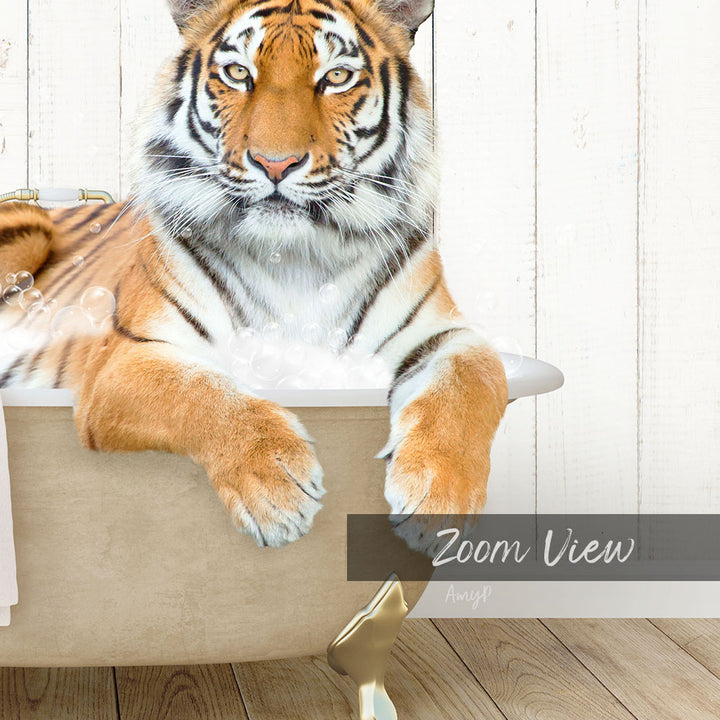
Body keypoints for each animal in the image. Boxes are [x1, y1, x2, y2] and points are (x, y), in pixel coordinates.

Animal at [0, 0, 507, 551]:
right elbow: (201, 393)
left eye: (336, 77)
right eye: (239, 73)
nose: (275, 163)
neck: (295, 260)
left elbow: (471, 381)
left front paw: (440, 499)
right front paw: (276, 489)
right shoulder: (125, 359)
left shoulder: (443, 335)